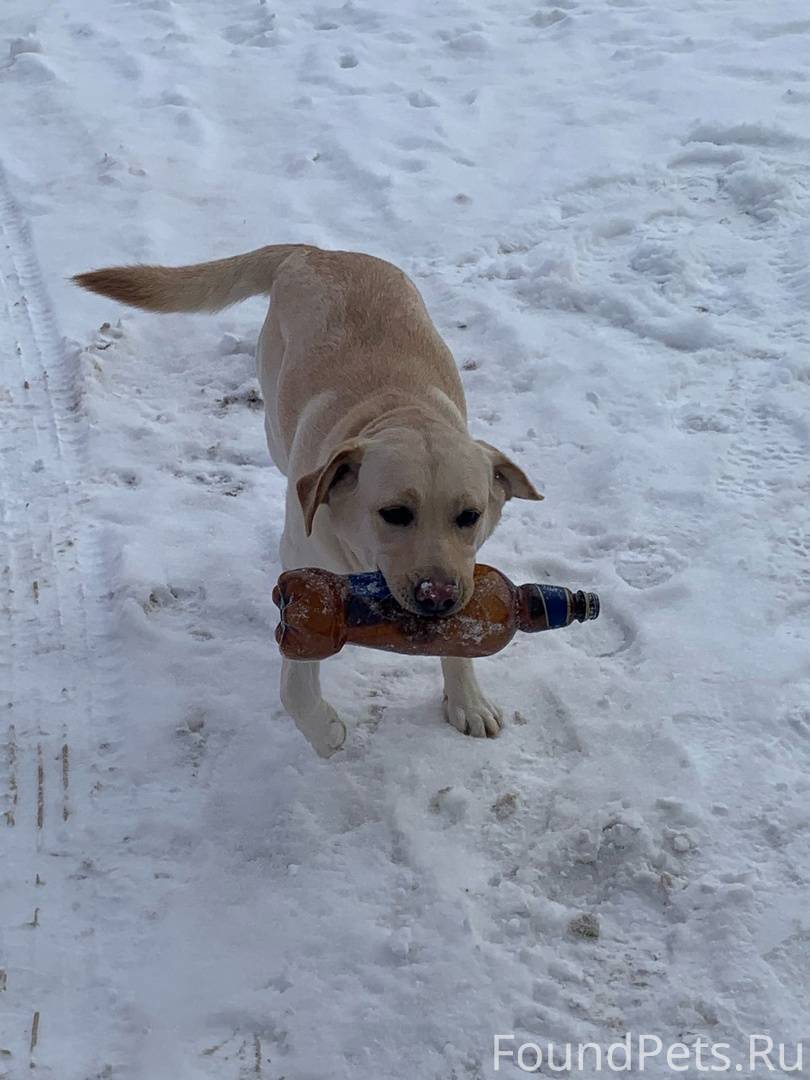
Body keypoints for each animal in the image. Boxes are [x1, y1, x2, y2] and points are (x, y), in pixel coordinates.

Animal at [76, 246, 542, 756]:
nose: (438, 598)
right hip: (275, 419)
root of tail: (317, 251)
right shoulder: (304, 576)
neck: (397, 412)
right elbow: (296, 684)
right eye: (394, 514)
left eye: (469, 516)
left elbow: (461, 641)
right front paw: (324, 730)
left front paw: (467, 701)